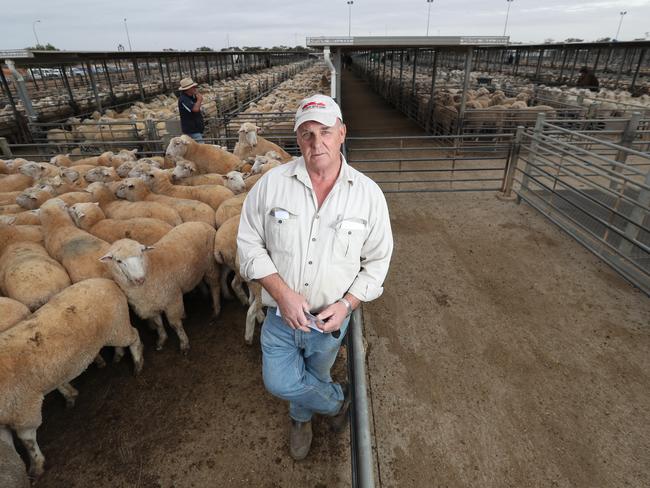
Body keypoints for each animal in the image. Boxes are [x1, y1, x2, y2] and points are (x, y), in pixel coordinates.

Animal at [0, 276, 144, 478]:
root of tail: (106, 281)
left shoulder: (24, 409)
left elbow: (27, 441)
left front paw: (36, 465)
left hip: (118, 327)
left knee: (135, 336)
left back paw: (138, 363)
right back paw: (118, 355)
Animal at [101, 223, 220, 352]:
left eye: (141, 253)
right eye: (118, 261)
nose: (140, 279)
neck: (150, 268)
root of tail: (199, 223)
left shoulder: (172, 301)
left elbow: (175, 325)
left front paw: (184, 343)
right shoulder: (152, 306)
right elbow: (158, 324)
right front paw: (162, 339)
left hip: (210, 265)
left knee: (215, 287)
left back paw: (216, 310)